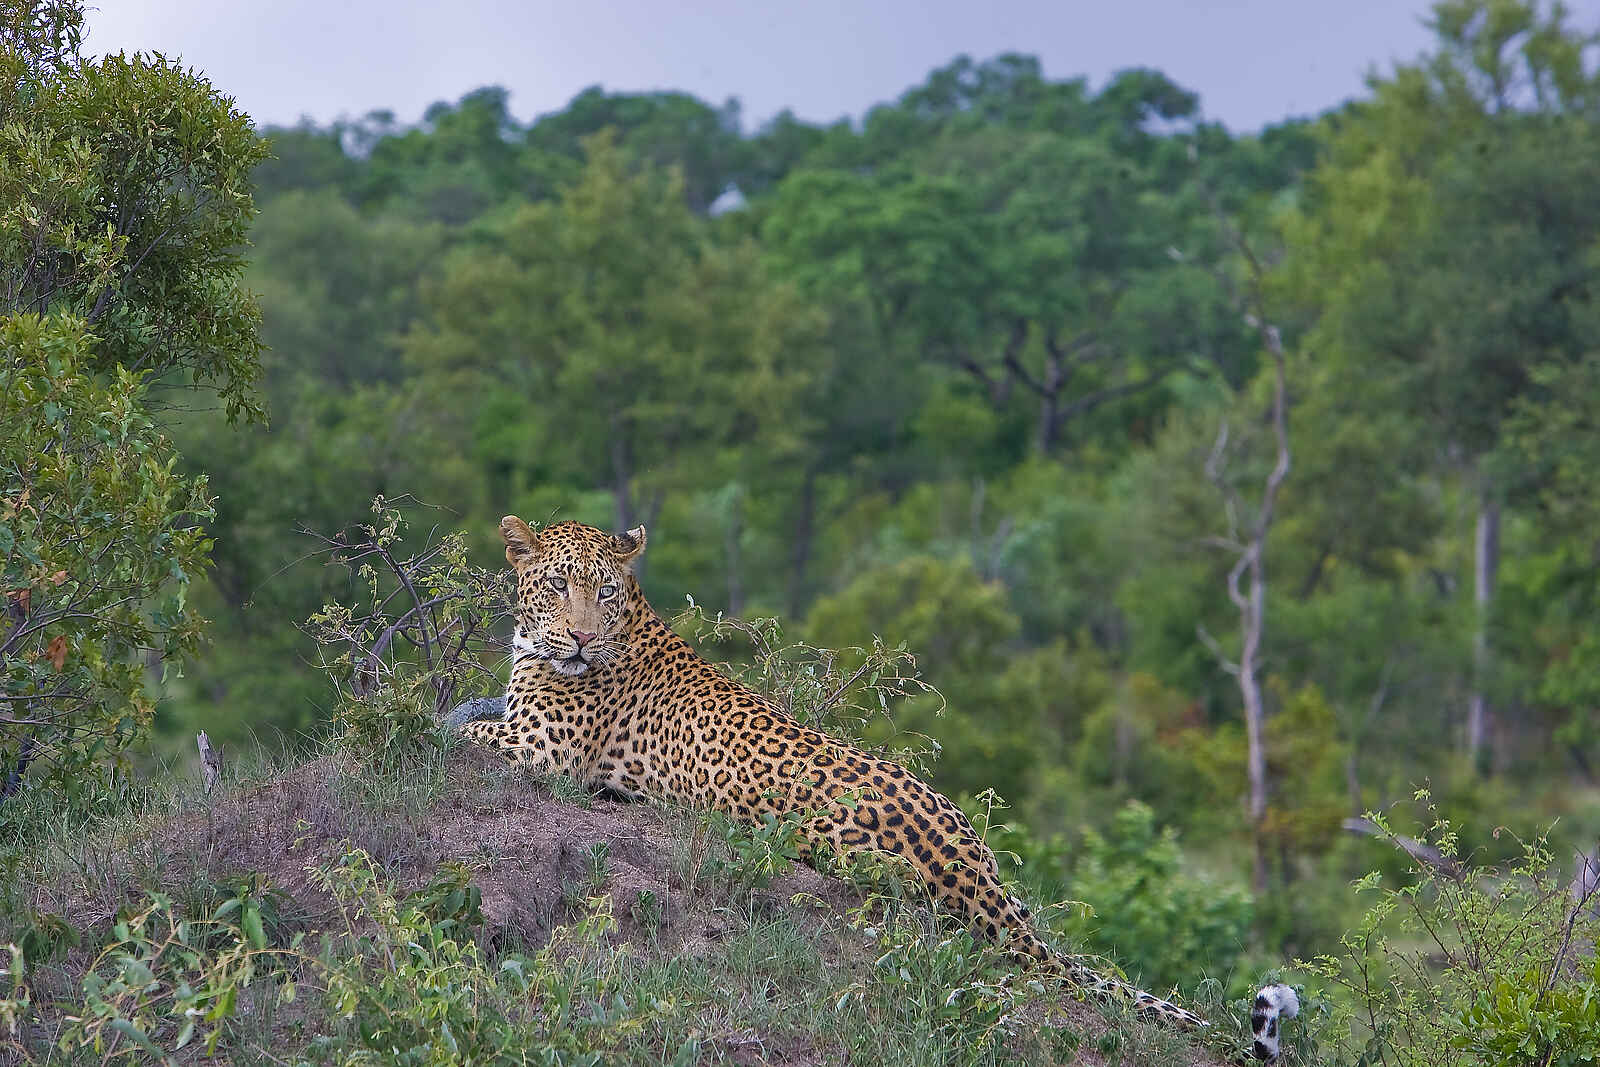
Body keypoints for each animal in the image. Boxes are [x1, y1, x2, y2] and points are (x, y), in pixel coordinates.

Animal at [458, 516, 1223, 1038]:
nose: (582, 638)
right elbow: (466, 709)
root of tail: (965, 858)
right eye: (558, 584)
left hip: (842, 847)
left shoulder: (542, 748)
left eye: (605, 591)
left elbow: (452, 728)